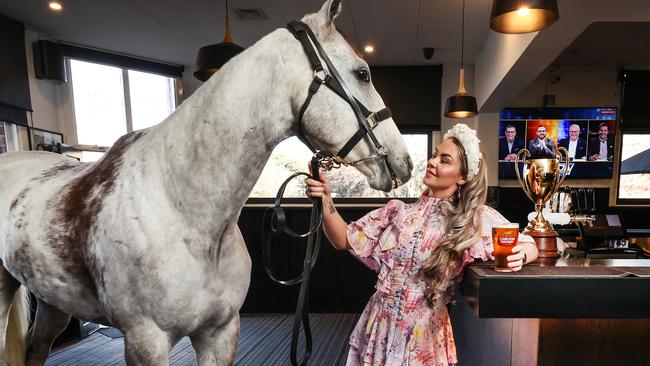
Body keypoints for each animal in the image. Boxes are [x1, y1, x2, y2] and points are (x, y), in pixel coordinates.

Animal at [0, 1, 410, 364]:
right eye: (362, 73)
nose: (403, 161)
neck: (181, 208)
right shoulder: (145, 341)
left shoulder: (221, 332)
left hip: (53, 301)